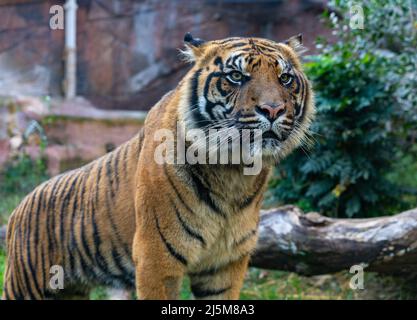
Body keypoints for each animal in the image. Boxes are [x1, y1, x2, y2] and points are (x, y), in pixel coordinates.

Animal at [1, 33, 314, 300]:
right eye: (236, 76)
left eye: (285, 78)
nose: (273, 110)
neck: (234, 171)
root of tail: (19, 208)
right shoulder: (156, 257)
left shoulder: (225, 263)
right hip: (25, 285)